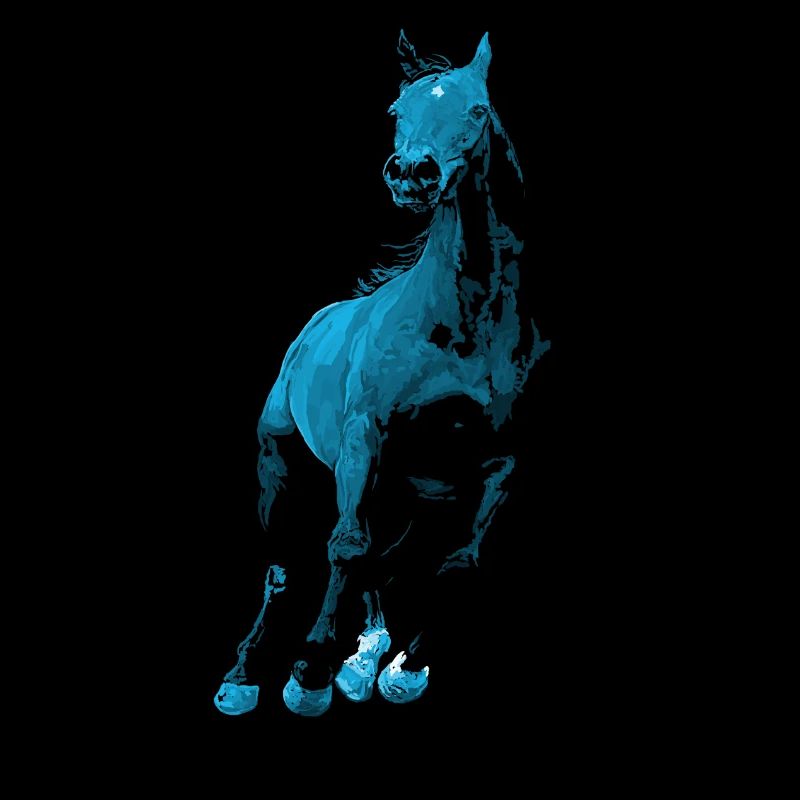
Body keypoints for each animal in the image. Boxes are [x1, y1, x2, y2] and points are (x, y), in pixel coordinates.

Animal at [214, 30, 549, 718]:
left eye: (477, 110)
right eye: (397, 110)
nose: (413, 173)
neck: (461, 328)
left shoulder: (501, 463)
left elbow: (458, 564)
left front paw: (402, 669)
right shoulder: (362, 436)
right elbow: (346, 547)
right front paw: (310, 675)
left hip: (412, 492)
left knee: (385, 563)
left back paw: (365, 656)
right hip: (282, 465)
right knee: (285, 567)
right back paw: (245, 676)